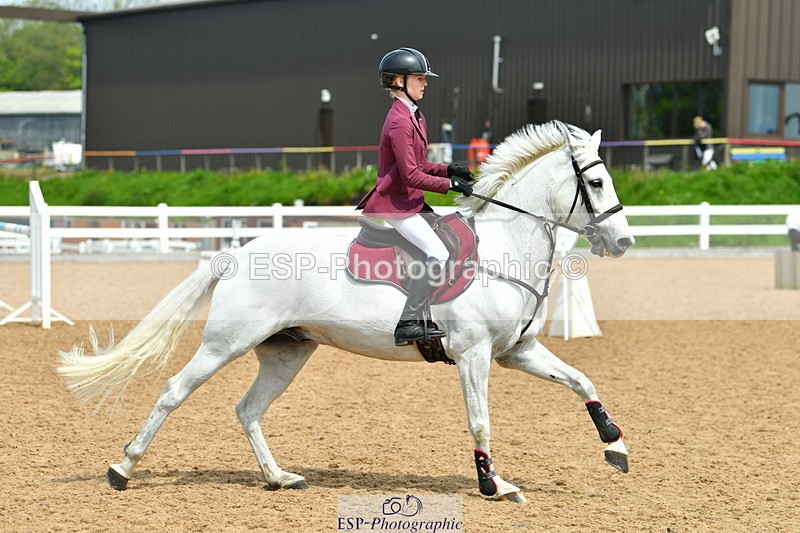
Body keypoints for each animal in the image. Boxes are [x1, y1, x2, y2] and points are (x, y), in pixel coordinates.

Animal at [58, 121, 634, 503]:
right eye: (597, 183)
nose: (624, 242)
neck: (504, 247)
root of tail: (239, 251)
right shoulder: (474, 355)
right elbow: (480, 420)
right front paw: (493, 483)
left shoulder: (518, 351)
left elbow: (581, 381)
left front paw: (615, 445)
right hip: (227, 342)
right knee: (175, 391)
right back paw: (122, 467)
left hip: (286, 352)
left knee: (248, 409)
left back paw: (278, 477)